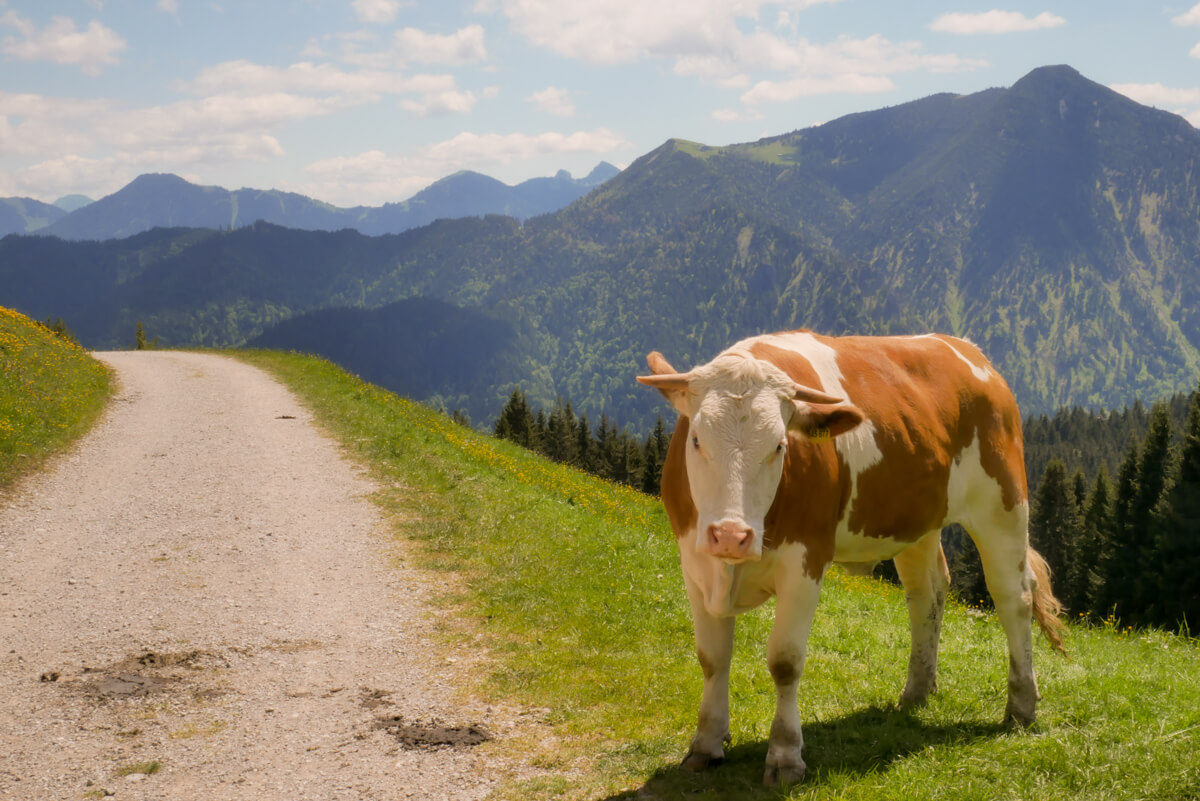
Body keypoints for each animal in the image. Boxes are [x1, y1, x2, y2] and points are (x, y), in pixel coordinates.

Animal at [638, 328, 1060, 786]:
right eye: (696, 439)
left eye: (779, 446)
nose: (731, 536)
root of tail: (967, 350)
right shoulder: (694, 563)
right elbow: (712, 657)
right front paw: (706, 744)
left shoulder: (805, 561)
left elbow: (785, 661)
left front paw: (785, 756)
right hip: (916, 521)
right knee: (927, 593)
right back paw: (917, 690)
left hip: (1003, 504)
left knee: (1013, 597)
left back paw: (1021, 706)